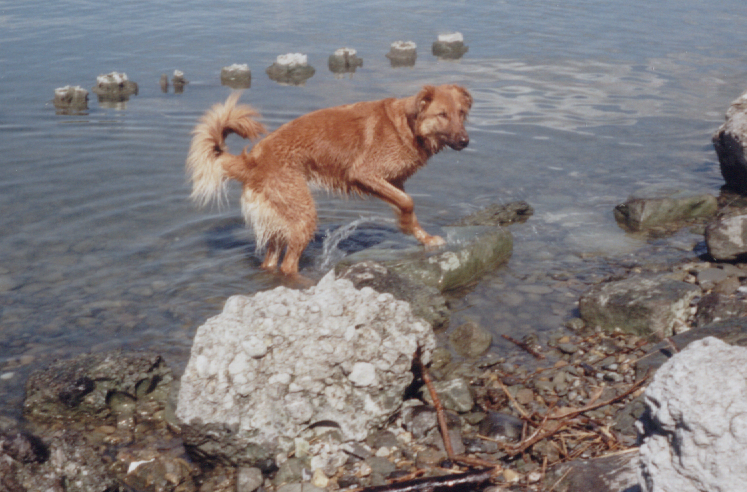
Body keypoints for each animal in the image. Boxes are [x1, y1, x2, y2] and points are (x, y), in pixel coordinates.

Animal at [186, 86, 474, 274]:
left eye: (461, 113)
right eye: (442, 115)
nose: (465, 141)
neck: (407, 126)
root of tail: (251, 161)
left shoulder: (393, 182)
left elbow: (406, 204)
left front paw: (424, 238)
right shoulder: (364, 173)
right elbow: (408, 203)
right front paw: (407, 227)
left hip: (279, 221)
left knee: (271, 261)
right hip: (303, 215)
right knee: (288, 265)